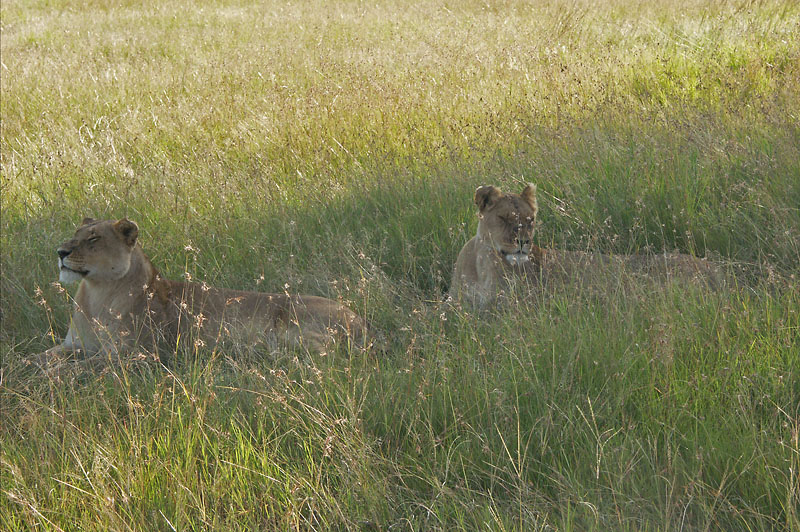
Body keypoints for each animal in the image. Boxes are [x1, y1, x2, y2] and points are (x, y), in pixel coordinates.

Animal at [34, 217, 368, 372]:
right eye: (75, 235)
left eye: (93, 239)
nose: (61, 252)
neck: (95, 295)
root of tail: (362, 323)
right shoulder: (73, 345)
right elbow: (40, 358)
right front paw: (28, 366)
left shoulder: (133, 355)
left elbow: (76, 367)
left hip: (292, 327)